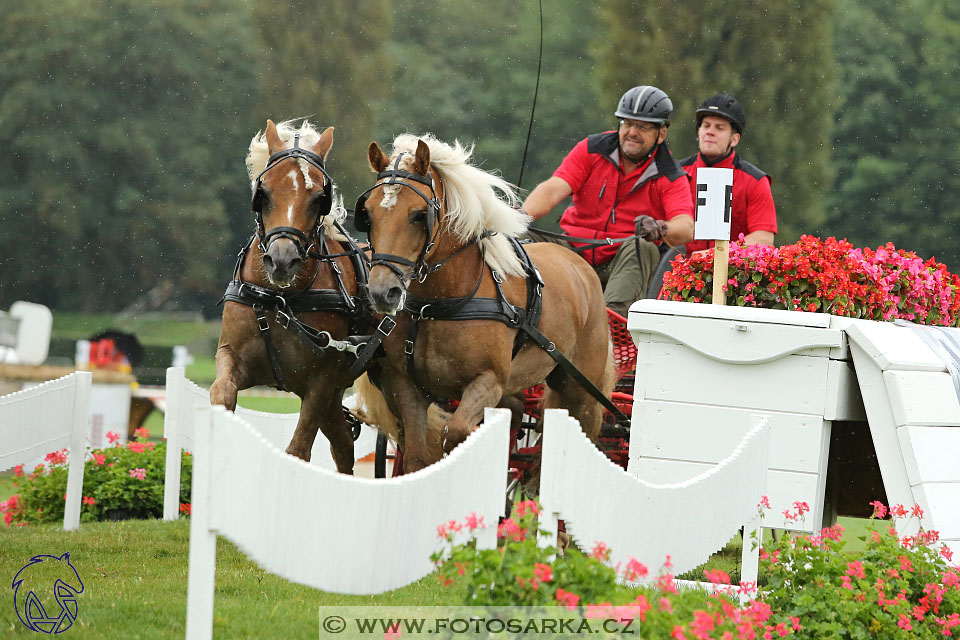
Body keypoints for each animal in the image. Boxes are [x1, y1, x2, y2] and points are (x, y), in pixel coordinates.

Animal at [208, 119, 370, 476]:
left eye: (319, 198)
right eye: (263, 192)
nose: (282, 261)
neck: (281, 300)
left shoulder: (322, 379)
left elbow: (298, 450)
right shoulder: (231, 355)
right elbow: (221, 394)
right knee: (343, 443)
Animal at [354, 132, 616, 472]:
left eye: (418, 215)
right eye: (368, 213)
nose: (382, 292)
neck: (439, 307)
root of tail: (579, 263)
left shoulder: (488, 382)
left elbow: (456, 433)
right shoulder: (407, 387)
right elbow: (417, 457)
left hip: (581, 390)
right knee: (517, 412)